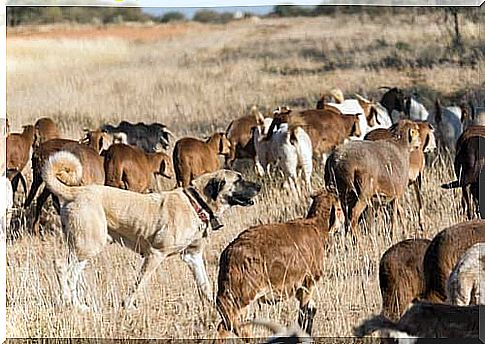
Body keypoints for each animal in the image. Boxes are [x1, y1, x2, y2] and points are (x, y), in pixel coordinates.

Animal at [42, 150, 260, 310]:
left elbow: (204, 285)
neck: (196, 202)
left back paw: (77, 304)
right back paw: (71, 304)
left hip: (85, 248)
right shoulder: (155, 254)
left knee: (72, 275)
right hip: (89, 245)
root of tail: (75, 191)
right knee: (61, 267)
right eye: (238, 180)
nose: (258, 186)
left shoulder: (193, 257)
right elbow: (140, 283)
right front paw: (128, 306)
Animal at [214, 191, 342, 338]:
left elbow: (311, 309)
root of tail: (228, 254)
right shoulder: (307, 284)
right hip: (240, 300)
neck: (316, 227)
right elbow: (304, 313)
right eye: (339, 208)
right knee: (232, 327)